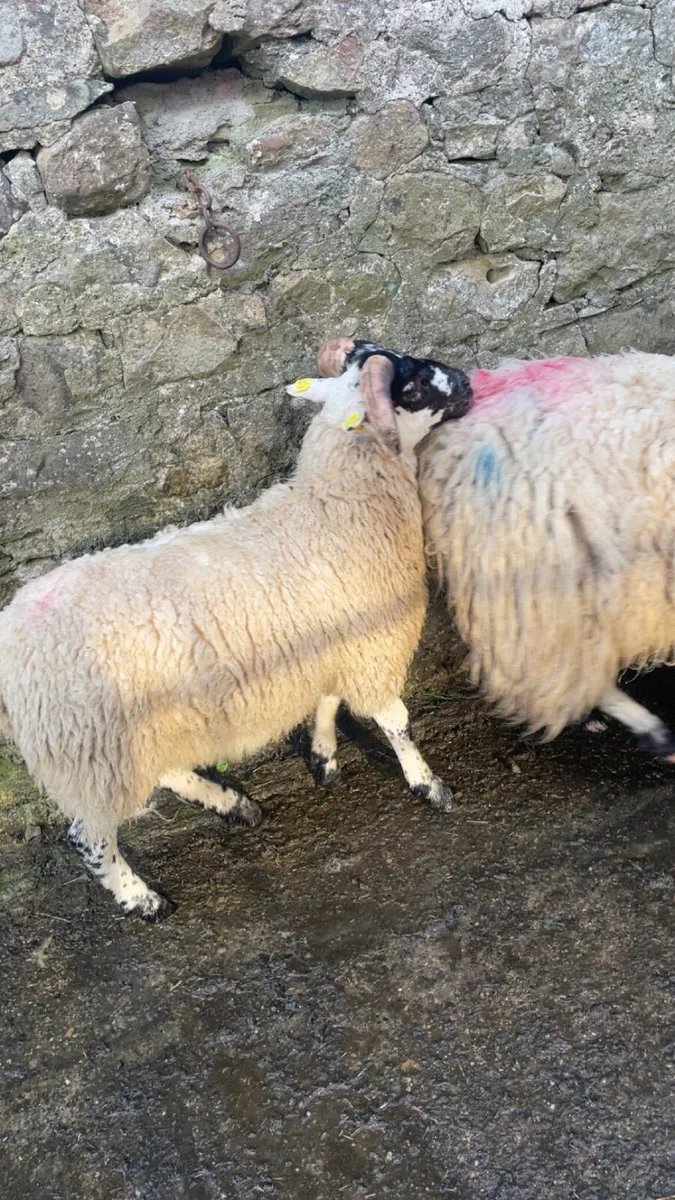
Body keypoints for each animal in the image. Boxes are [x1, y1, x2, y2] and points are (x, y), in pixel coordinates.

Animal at [0, 349, 471, 922]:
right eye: (415, 384)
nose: (469, 382)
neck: (335, 503)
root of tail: (8, 641)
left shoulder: (330, 642)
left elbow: (327, 700)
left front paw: (324, 759)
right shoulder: (372, 647)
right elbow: (396, 723)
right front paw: (429, 785)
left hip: (141, 732)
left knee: (164, 771)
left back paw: (231, 803)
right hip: (91, 753)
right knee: (88, 838)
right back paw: (142, 898)